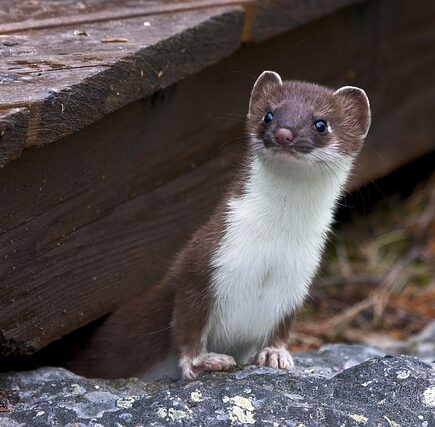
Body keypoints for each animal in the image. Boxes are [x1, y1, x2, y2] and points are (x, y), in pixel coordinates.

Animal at [70, 71, 372, 382]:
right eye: (269, 114)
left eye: (321, 123)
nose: (284, 133)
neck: (274, 246)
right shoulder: (205, 260)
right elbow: (186, 323)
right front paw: (202, 361)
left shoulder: (298, 279)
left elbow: (281, 326)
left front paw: (274, 354)